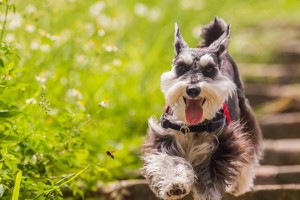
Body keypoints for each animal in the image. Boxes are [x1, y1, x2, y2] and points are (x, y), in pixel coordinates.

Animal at [141, 17, 262, 200]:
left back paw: (240, 185)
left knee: (249, 151)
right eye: (181, 67)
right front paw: (174, 184)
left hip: (245, 117)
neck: (191, 126)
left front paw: (208, 194)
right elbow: (169, 161)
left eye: (209, 69)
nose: (193, 89)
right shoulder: (164, 138)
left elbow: (210, 178)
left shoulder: (221, 145)